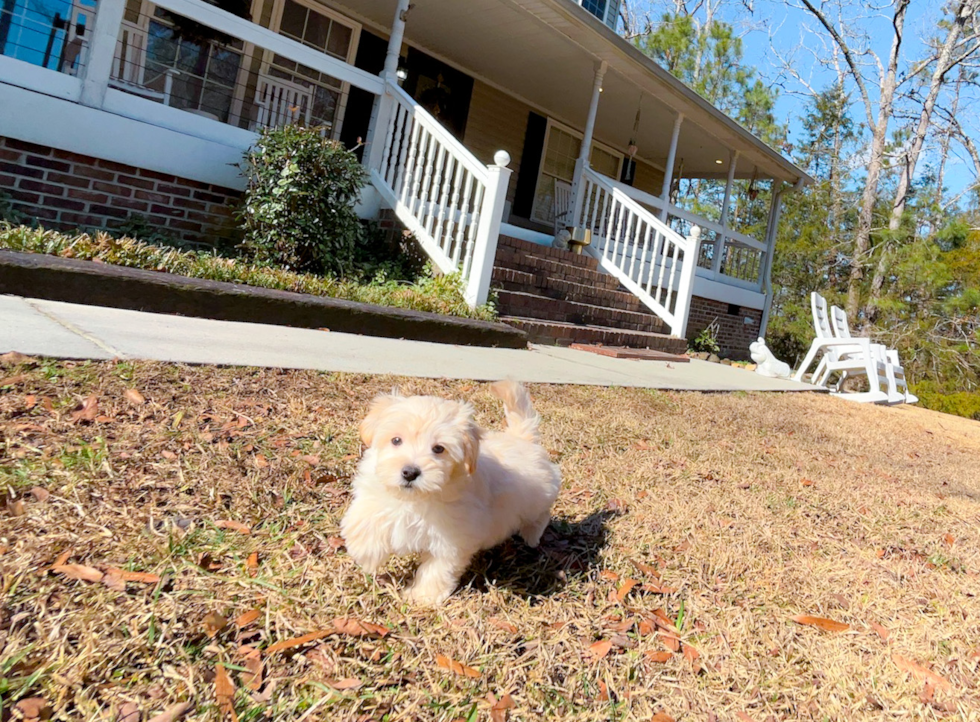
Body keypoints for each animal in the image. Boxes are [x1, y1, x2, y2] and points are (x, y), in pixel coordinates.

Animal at [342, 380, 560, 604]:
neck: (416, 498)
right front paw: (366, 552)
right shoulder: (376, 494)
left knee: (542, 514)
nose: (410, 473)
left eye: (439, 449)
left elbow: (438, 568)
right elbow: (367, 518)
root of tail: (524, 438)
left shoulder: (452, 537)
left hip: (535, 500)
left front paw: (423, 596)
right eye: (396, 440)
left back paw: (532, 535)